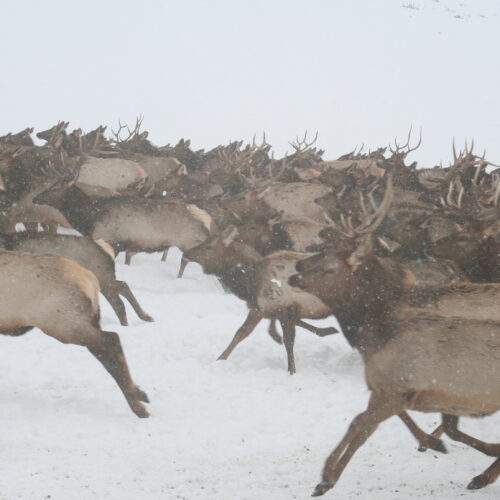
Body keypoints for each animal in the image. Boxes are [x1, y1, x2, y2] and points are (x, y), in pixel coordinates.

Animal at [0, 250, 149, 418]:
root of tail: (91, 279)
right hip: (86, 320)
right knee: (105, 349)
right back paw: (138, 402)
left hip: (64, 324)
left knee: (111, 340)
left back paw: (137, 399)